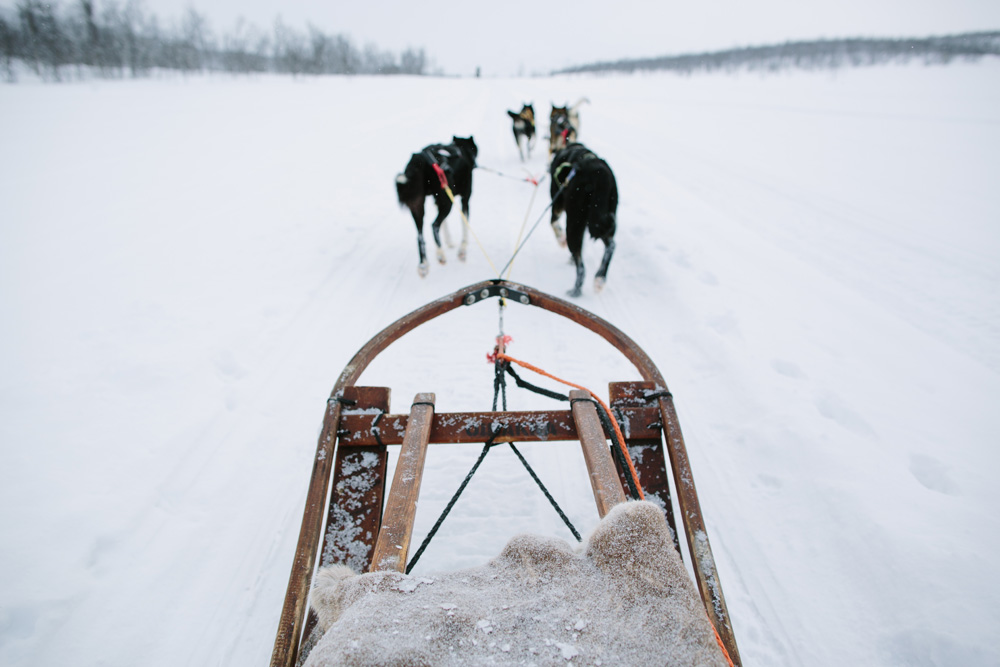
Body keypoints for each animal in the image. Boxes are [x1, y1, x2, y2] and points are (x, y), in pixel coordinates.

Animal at [396, 136, 478, 276]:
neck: (461, 149)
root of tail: (421, 158)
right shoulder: (465, 199)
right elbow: (464, 225)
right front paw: (462, 249)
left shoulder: (437, 201)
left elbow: (445, 225)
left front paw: (449, 241)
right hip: (447, 202)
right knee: (434, 225)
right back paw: (440, 254)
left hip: (418, 205)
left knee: (420, 235)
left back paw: (423, 264)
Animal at [548, 144, 616, 298]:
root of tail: (598, 173)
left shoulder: (557, 205)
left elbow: (553, 223)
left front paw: (561, 240)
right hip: (599, 220)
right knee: (610, 245)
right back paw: (599, 279)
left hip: (574, 222)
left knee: (581, 267)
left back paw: (575, 290)